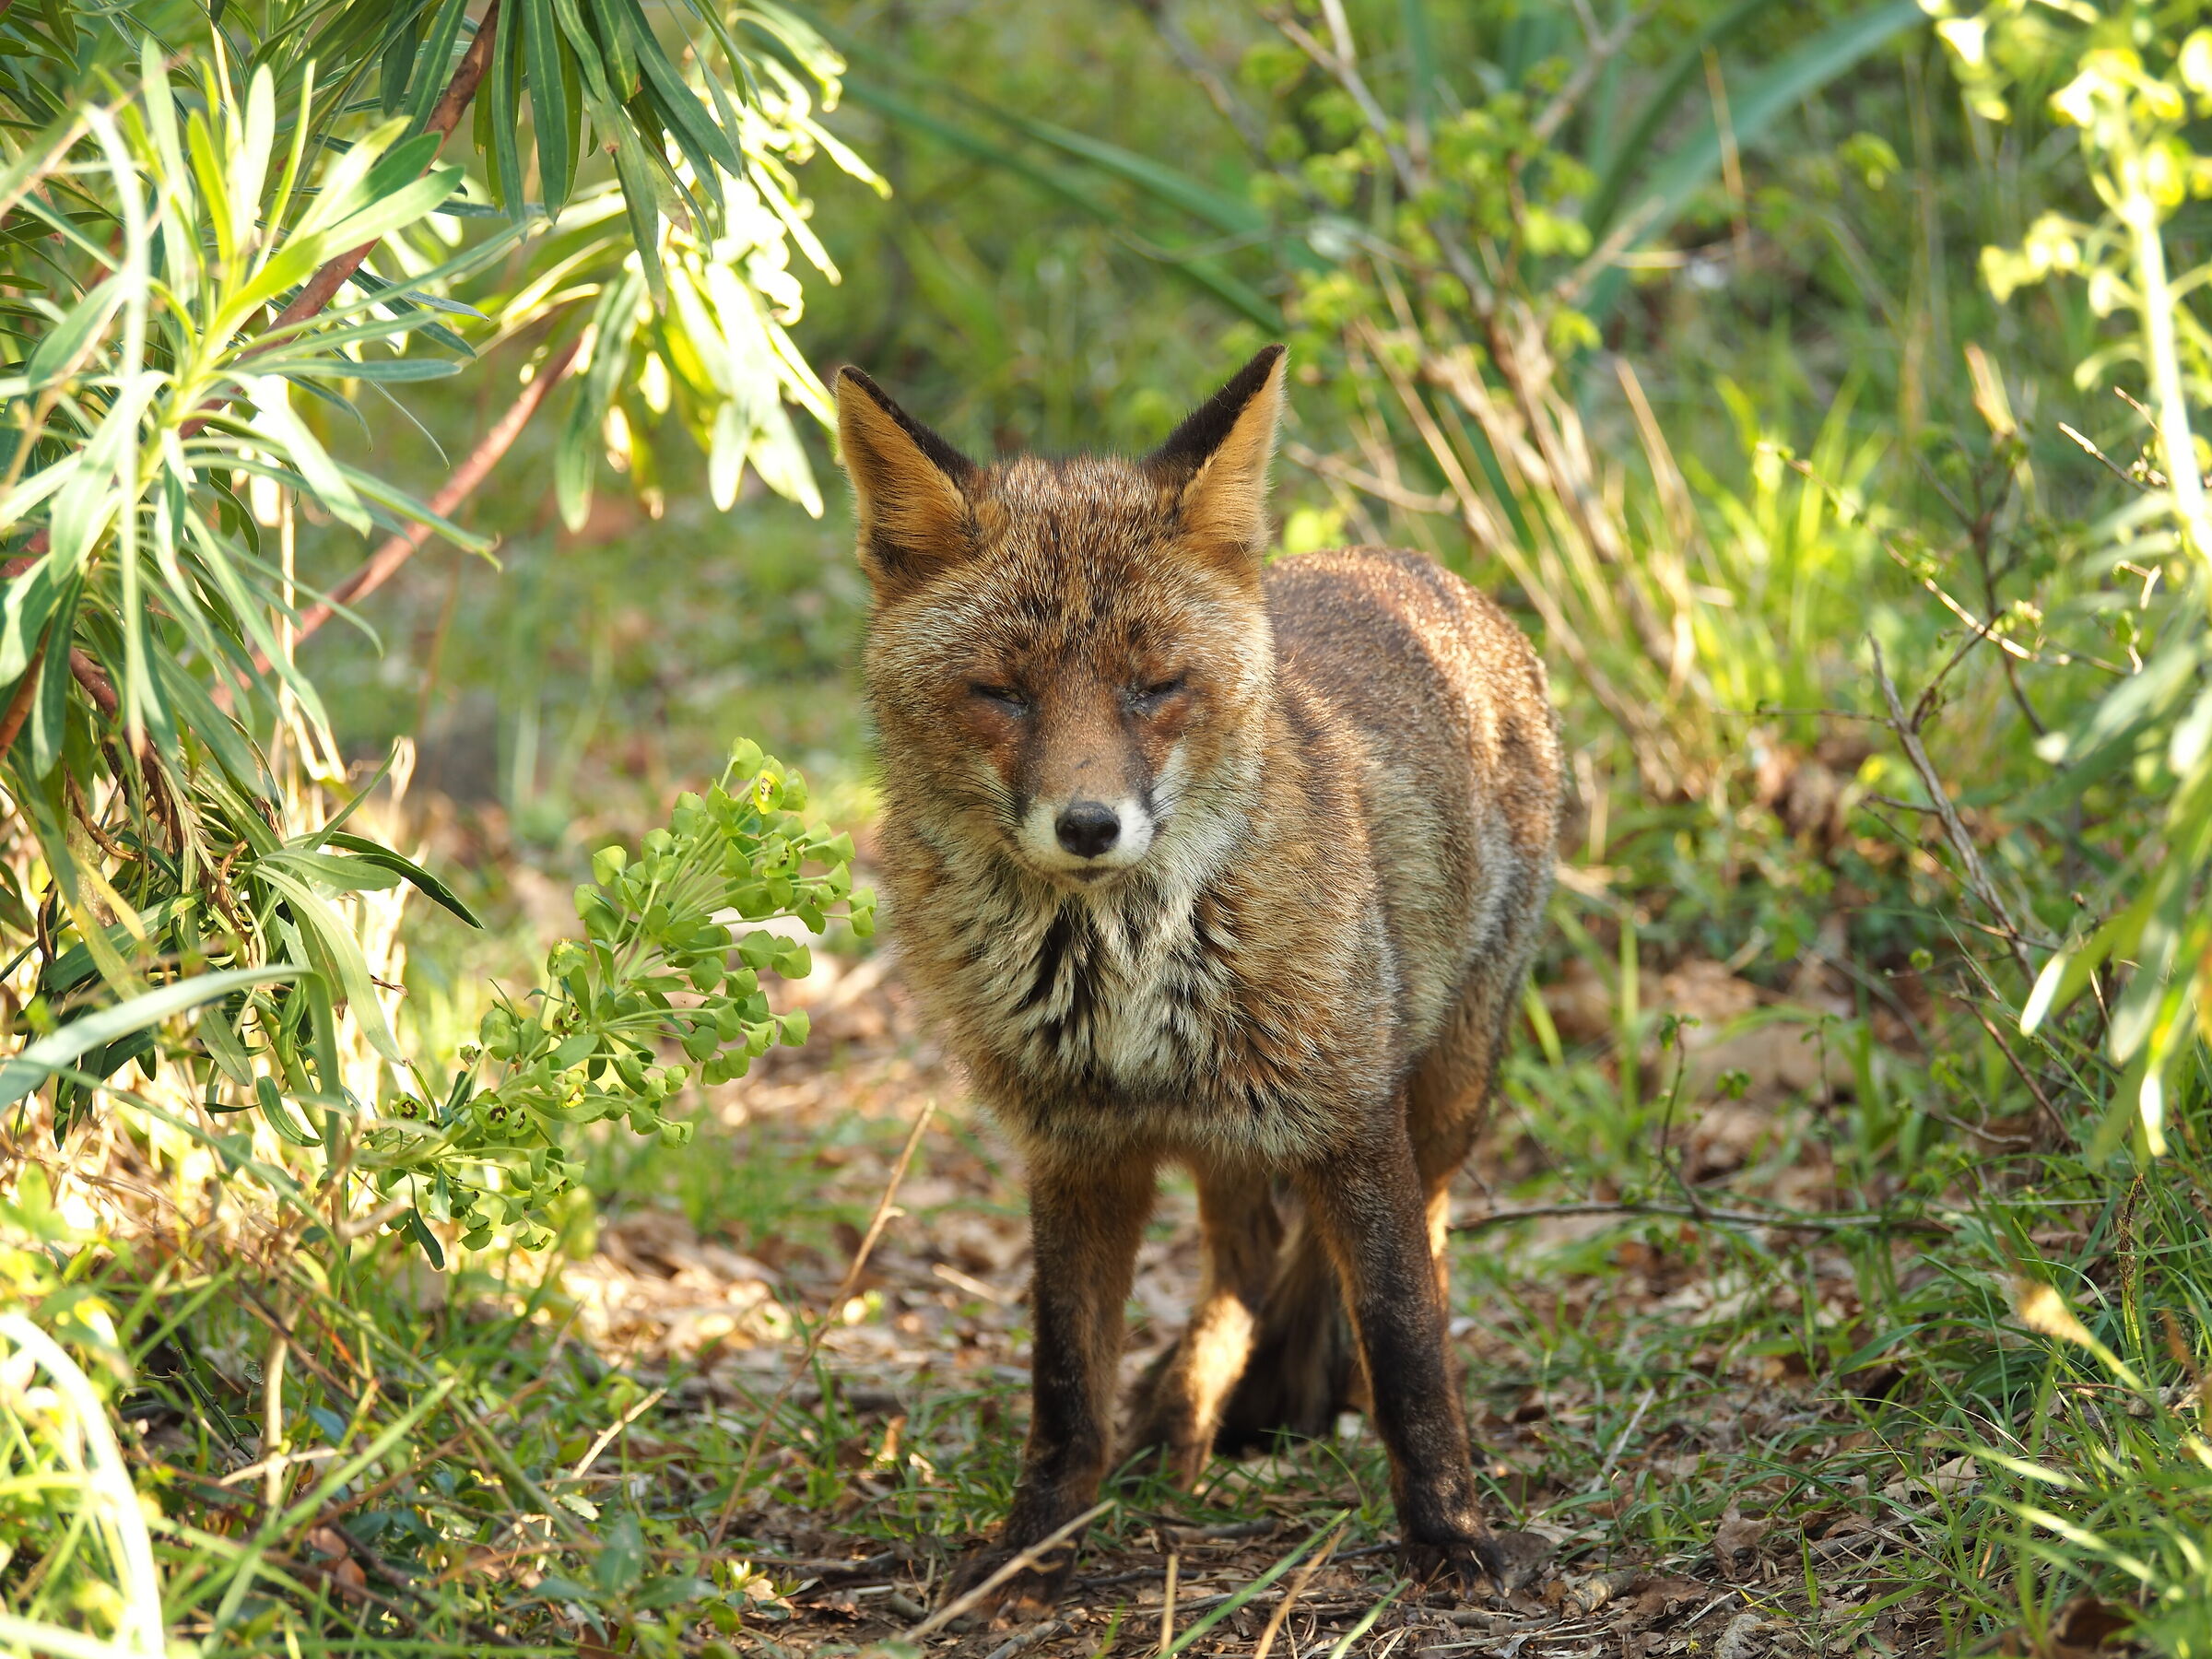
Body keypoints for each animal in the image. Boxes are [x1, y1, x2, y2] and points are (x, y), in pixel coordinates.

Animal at [833, 345, 1562, 1617]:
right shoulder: (1076, 1147)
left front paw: (1451, 1534)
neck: (1118, 970)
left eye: (1154, 686)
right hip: (1240, 1136)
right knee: (1243, 1264)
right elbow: (1064, 1381)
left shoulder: (1348, 1118)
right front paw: (1034, 1547)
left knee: (1397, 1245)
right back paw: (1184, 1416)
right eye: (1002, 693)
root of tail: (1414, 564)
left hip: (1439, 1089)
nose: (1088, 825)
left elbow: (1406, 1339)